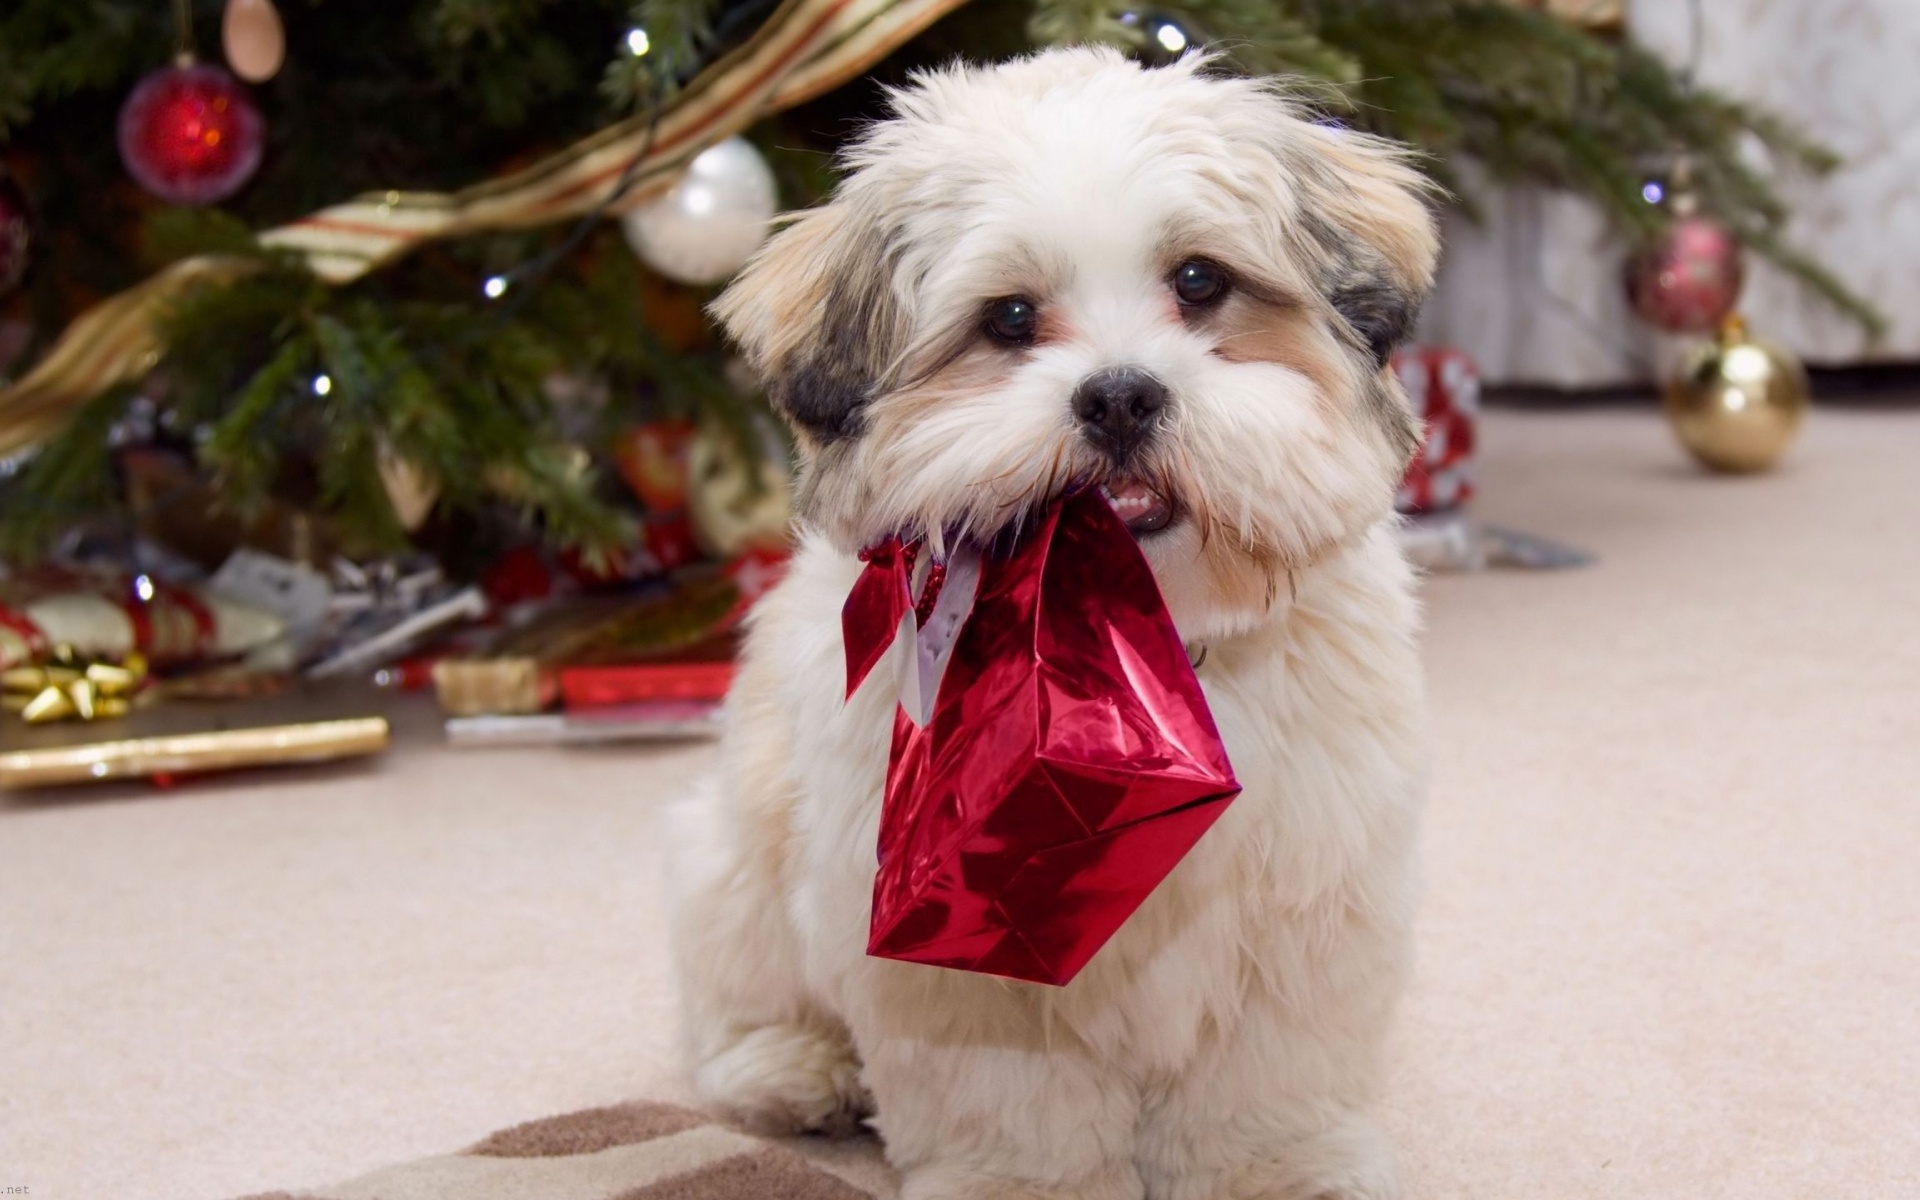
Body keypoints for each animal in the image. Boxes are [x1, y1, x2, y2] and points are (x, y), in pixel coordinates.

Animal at [668, 46, 1436, 1198]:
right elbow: (1012, 1103)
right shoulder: (959, 942)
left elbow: (1265, 1080)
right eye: (1011, 320)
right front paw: (1021, 1183)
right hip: (738, 858)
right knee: (732, 1001)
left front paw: (1280, 1166)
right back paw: (792, 1068)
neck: (1132, 651)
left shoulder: (1303, 905)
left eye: (1199, 281)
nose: (1119, 395)